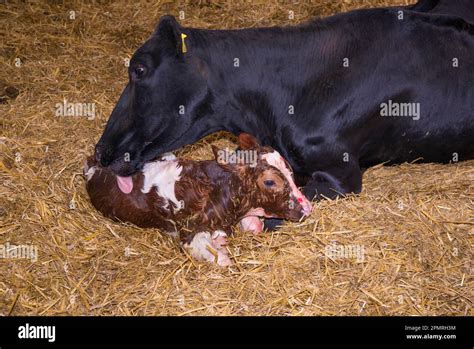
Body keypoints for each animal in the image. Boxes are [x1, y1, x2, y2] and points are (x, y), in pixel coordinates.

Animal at [83, 133, 312, 264]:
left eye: (289, 169)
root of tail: (93, 162)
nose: (307, 208)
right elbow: (221, 259)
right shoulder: (189, 235)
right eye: (270, 182)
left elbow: (254, 225)